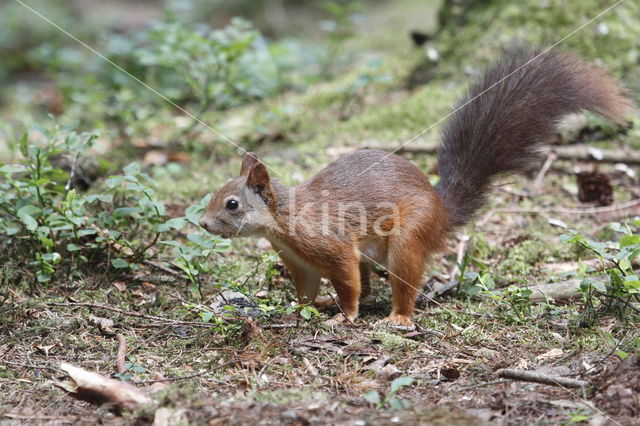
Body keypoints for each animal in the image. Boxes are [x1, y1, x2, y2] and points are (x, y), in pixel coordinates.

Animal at [200, 47, 632, 326]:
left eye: (232, 204)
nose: (202, 224)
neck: (284, 220)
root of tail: (442, 210)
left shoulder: (331, 245)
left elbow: (347, 281)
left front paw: (346, 316)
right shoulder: (297, 261)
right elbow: (305, 289)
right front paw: (296, 310)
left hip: (410, 236)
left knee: (400, 279)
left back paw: (399, 318)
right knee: (370, 281)